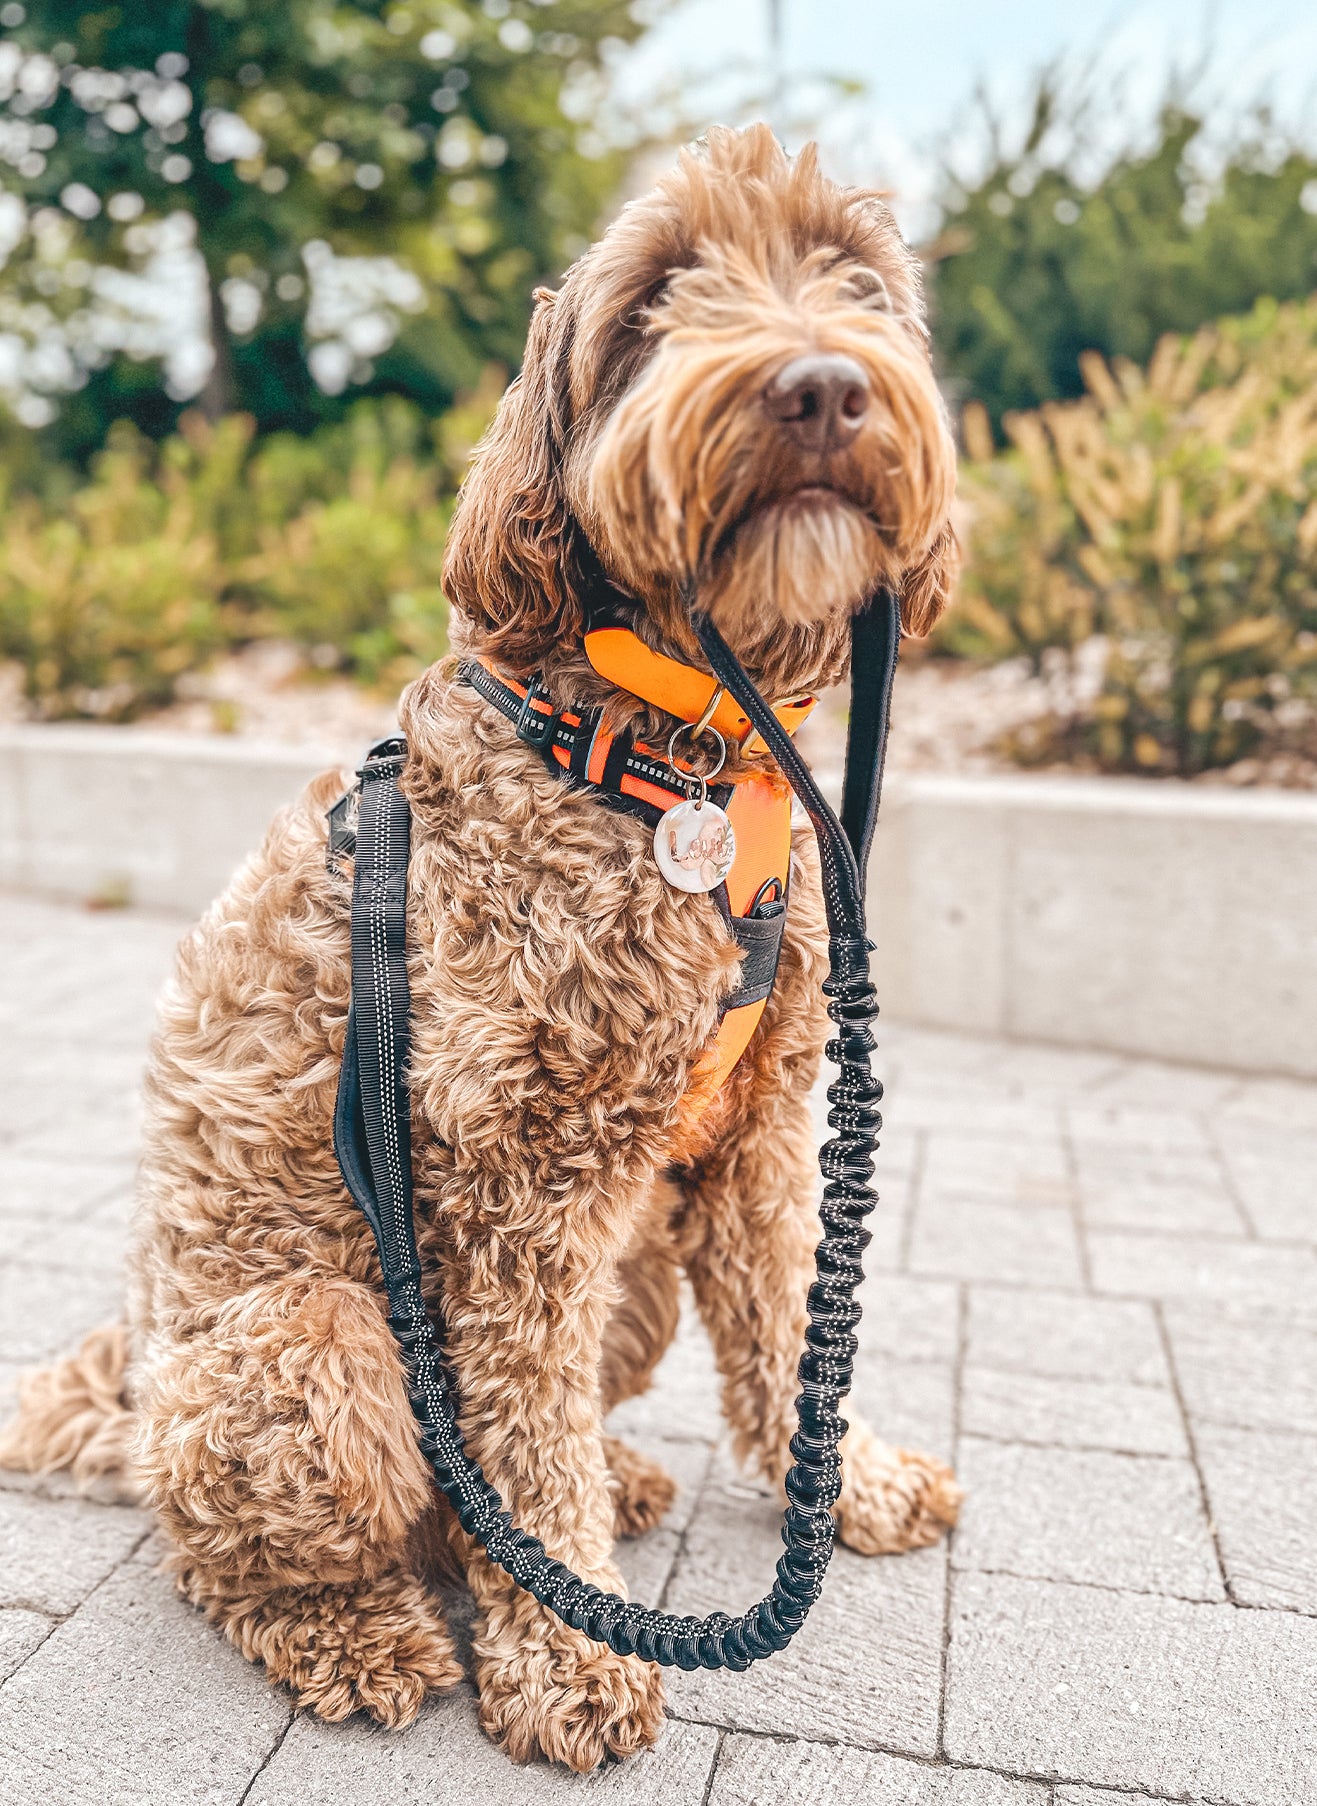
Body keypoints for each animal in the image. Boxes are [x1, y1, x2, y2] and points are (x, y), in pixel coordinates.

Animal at [5, 127, 961, 1762]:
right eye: (656, 296)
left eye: (856, 280)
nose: (823, 386)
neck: (670, 756)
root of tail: (126, 1363)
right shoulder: (520, 1178)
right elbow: (518, 1436)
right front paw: (568, 1656)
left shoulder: (763, 1139)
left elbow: (790, 1325)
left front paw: (857, 1480)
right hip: (315, 1340)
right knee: (236, 1549)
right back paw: (360, 1633)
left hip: (633, 1288)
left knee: (479, 1488)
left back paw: (612, 1492)